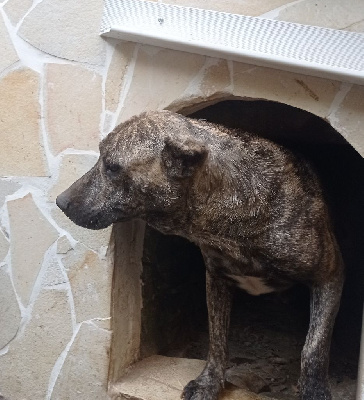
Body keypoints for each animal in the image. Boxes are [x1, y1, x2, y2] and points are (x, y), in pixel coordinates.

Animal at [57, 111, 344, 400]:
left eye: (113, 167)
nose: (60, 202)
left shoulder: (329, 277)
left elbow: (314, 348)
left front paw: (314, 391)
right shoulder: (216, 280)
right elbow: (217, 340)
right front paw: (209, 381)